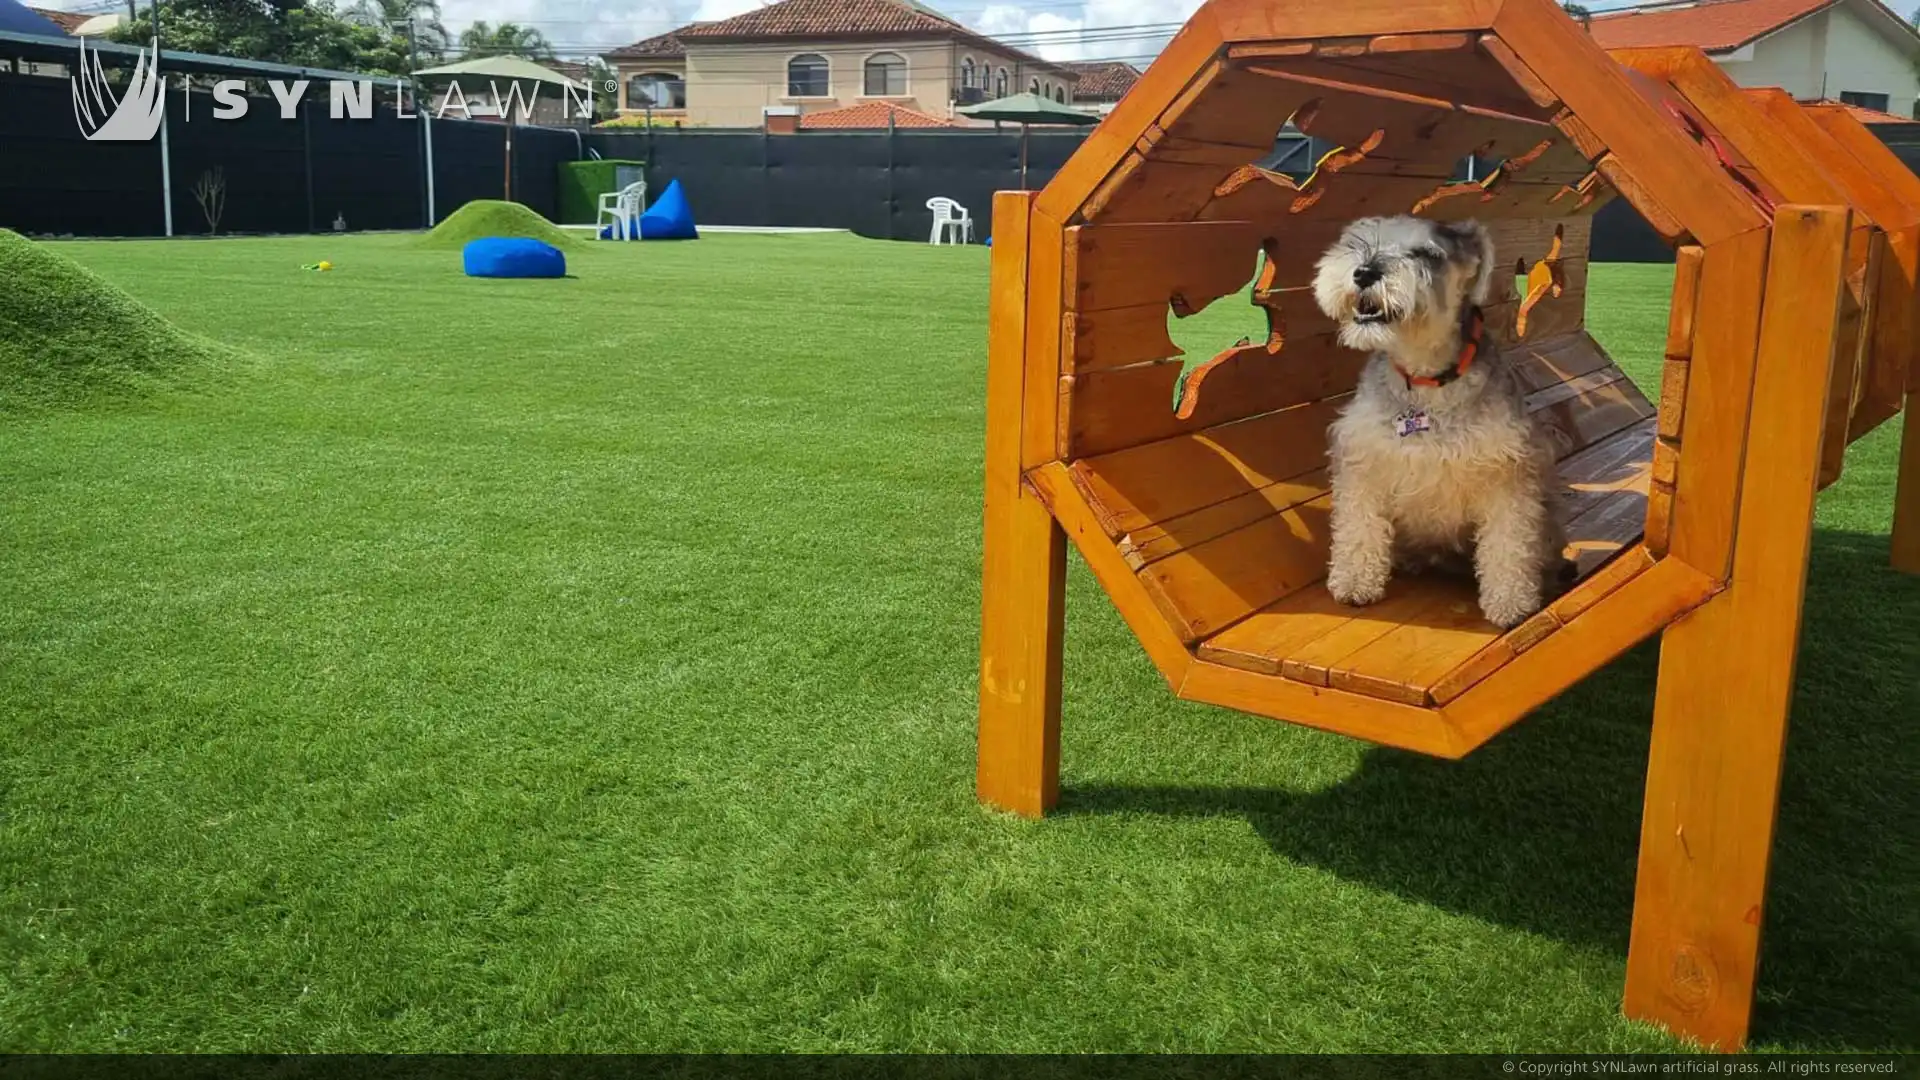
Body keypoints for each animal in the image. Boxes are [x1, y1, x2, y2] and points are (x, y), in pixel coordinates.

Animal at [1313, 213, 1566, 626]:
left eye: (1425, 253)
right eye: (1355, 241)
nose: (1364, 272)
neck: (1425, 381)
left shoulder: (1508, 473)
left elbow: (1509, 543)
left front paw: (1511, 603)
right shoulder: (1362, 462)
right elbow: (1358, 526)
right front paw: (1354, 582)